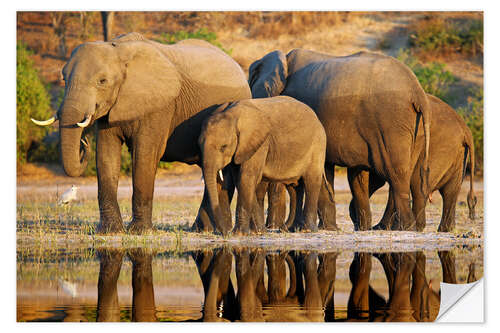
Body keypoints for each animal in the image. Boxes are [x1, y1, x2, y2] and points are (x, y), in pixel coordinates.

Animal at [31, 31, 250, 233]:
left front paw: (139, 231)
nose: (83, 143)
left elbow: (144, 154)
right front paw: (111, 231)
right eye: (63, 78)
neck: (118, 50)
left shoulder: (159, 106)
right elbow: (106, 156)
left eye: (102, 81)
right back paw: (205, 229)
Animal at [199, 96, 328, 235]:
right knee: (295, 188)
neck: (232, 114)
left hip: (317, 145)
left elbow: (246, 178)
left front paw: (239, 234)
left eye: (223, 147)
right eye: (199, 146)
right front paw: (259, 231)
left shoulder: (259, 144)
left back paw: (307, 230)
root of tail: (317, 118)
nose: (224, 233)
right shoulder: (241, 149)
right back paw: (292, 229)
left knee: (311, 182)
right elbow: (241, 181)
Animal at [250, 48, 430, 231]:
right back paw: (375, 227)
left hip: (391, 124)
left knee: (395, 173)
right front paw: (328, 228)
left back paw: (401, 228)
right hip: (411, 128)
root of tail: (418, 92)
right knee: (381, 175)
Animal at [348, 92, 476, 231]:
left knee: (418, 187)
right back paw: (443, 229)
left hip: (439, 149)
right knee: (450, 191)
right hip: (457, 154)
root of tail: (466, 130)